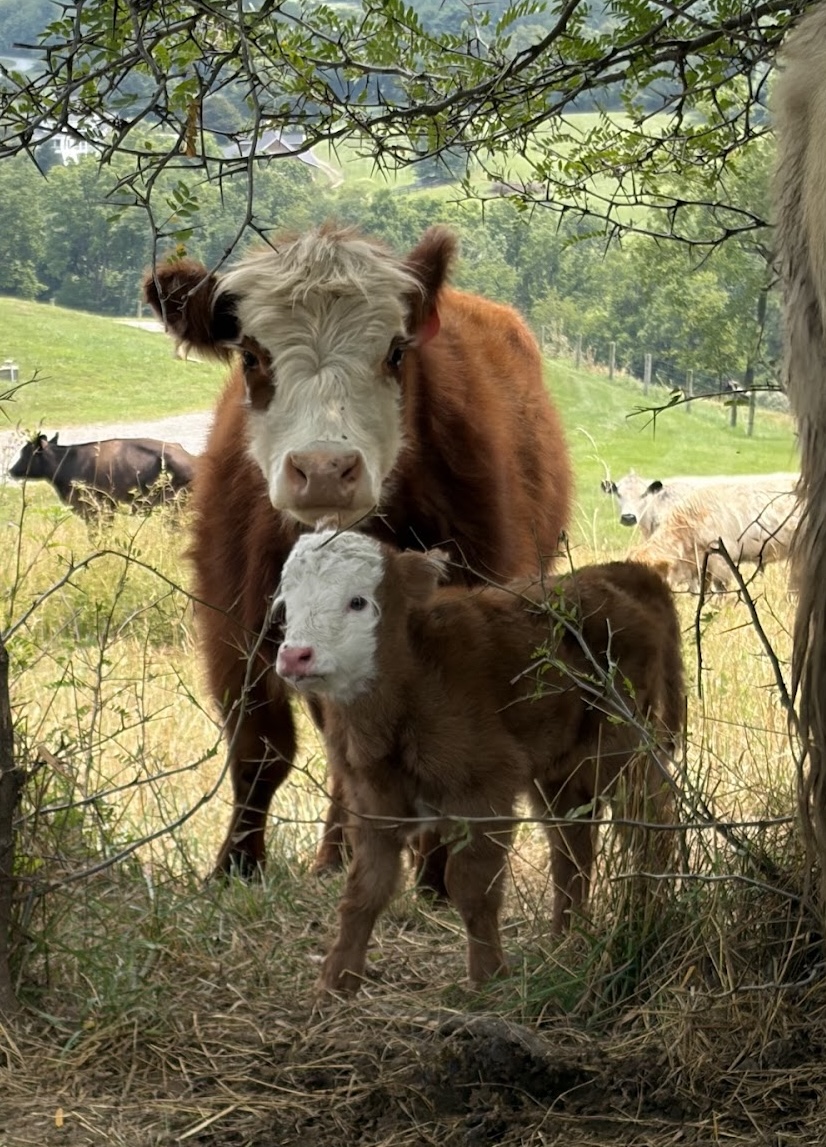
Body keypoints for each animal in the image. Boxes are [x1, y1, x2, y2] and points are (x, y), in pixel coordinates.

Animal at [142, 223, 572, 886]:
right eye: (252, 355)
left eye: (395, 352)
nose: (324, 469)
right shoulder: (233, 619)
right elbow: (259, 750)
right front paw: (237, 865)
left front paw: (438, 884)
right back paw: (335, 856)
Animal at [272, 529, 684, 993]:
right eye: (286, 605)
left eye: (357, 601)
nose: (296, 656)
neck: (415, 677)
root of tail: (625, 572)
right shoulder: (373, 800)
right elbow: (365, 888)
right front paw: (337, 979)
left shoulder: (483, 789)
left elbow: (471, 885)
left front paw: (488, 977)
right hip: (560, 774)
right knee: (572, 848)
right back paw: (567, 942)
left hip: (623, 752)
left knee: (650, 832)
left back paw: (647, 920)